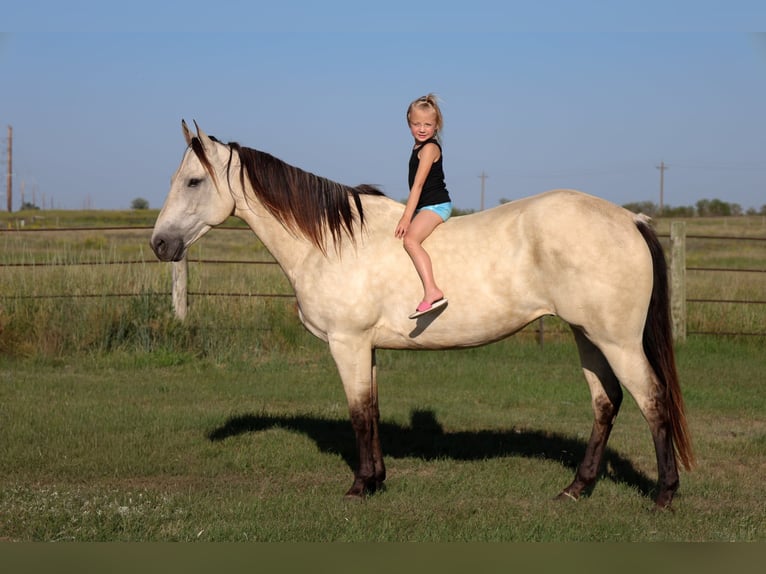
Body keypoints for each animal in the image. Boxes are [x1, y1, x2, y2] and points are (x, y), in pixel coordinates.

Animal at [151, 121, 694, 509]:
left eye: (194, 181)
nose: (160, 244)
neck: (332, 244)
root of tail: (630, 218)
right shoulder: (365, 347)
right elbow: (370, 411)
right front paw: (376, 480)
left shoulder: (347, 343)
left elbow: (357, 414)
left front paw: (358, 487)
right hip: (587, 335)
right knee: (606, 403)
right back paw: (576, 489)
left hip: (617, 340)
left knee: (652, 400)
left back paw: (664, 495)